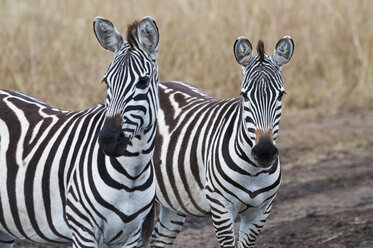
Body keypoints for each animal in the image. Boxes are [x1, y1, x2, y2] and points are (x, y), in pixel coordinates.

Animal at [0, 16, 158, 248]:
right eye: (106, 81)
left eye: (143, 82)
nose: (108, 140)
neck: (132, 172)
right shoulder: (83, 230)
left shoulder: (130, 236)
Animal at [150, 35, 294, 247]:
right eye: (244, 95)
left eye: (281, 95)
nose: (264, 152)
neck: (253, 171)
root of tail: (162, 83)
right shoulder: (221, 207)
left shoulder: (261, 211)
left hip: (173, 199)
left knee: (160, 238)